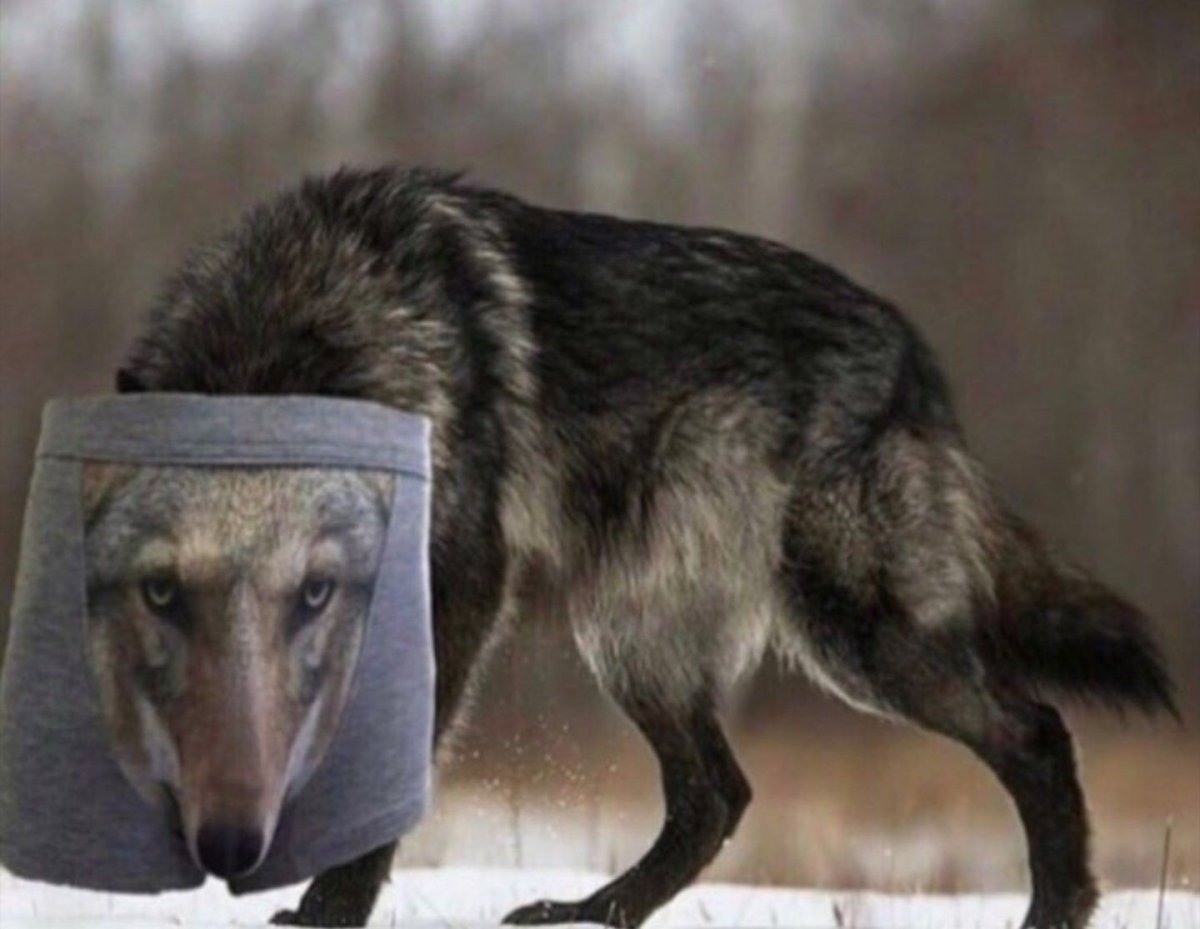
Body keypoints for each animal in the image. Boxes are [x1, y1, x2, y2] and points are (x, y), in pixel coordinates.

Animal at [111, 166, 1176, 929]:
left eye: (307, 585)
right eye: (169, 593)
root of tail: (916, 359)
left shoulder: (456, 591)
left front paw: (330, 909)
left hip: (857, 638)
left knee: (1035, 731)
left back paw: (1054, 911)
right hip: (635, 638)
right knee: (717, 795)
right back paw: (593, 912)